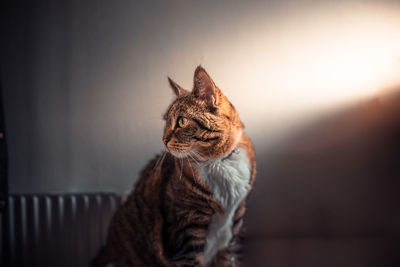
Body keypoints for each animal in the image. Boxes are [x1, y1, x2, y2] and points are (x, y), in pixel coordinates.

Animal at [92, 66, 256, 266]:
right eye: (166, 122)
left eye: (181, 121)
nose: (163, 140)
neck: (219, 162)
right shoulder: (186, 238)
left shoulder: (231, 236)